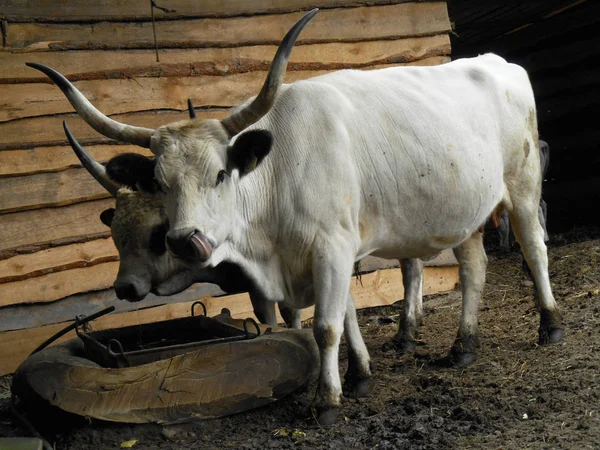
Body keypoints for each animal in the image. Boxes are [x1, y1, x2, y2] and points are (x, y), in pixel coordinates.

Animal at [29, 9, 564, 426]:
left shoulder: (333, 247)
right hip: (463, 212)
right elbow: (334, 316)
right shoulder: (315, 258)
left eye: (220, 173)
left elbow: (326, 325)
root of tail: (496, 61)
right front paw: (359, 376)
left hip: (521, 186)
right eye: (159, 183)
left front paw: (327, 400)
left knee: (535, 249)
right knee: (474, 269)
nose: (185, 239)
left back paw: (550, 326)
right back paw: (463, 347)